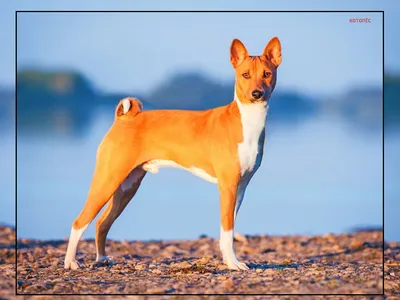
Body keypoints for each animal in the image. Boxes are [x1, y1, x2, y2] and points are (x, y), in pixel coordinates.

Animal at [64, 36, 282, 270]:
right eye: (245, 75)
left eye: (266, 74)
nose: (257, 94)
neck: (247, 121)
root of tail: (124, 119)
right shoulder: (227, 186)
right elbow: (226, 230)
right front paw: (233, 263)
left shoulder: (240, 188)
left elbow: (229, 232)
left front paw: (229, 260)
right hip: (108, 180)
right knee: (79, 222)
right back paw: (70, 262)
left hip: (126, 186)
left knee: (102, 222)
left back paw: (102, 258)